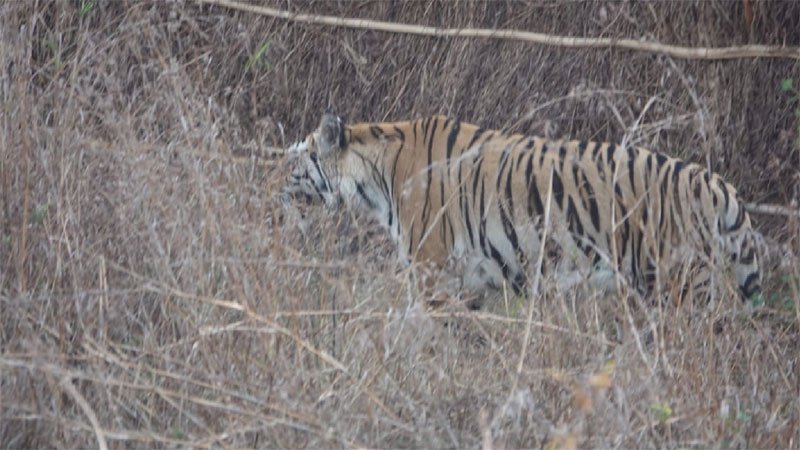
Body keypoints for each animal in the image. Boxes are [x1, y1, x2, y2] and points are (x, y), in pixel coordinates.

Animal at [281, 112, 762, 306]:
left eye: (296, 161)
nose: (275, 186)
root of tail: (717, 184)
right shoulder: (470, 281)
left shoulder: (431, 270)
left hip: (685, 283)